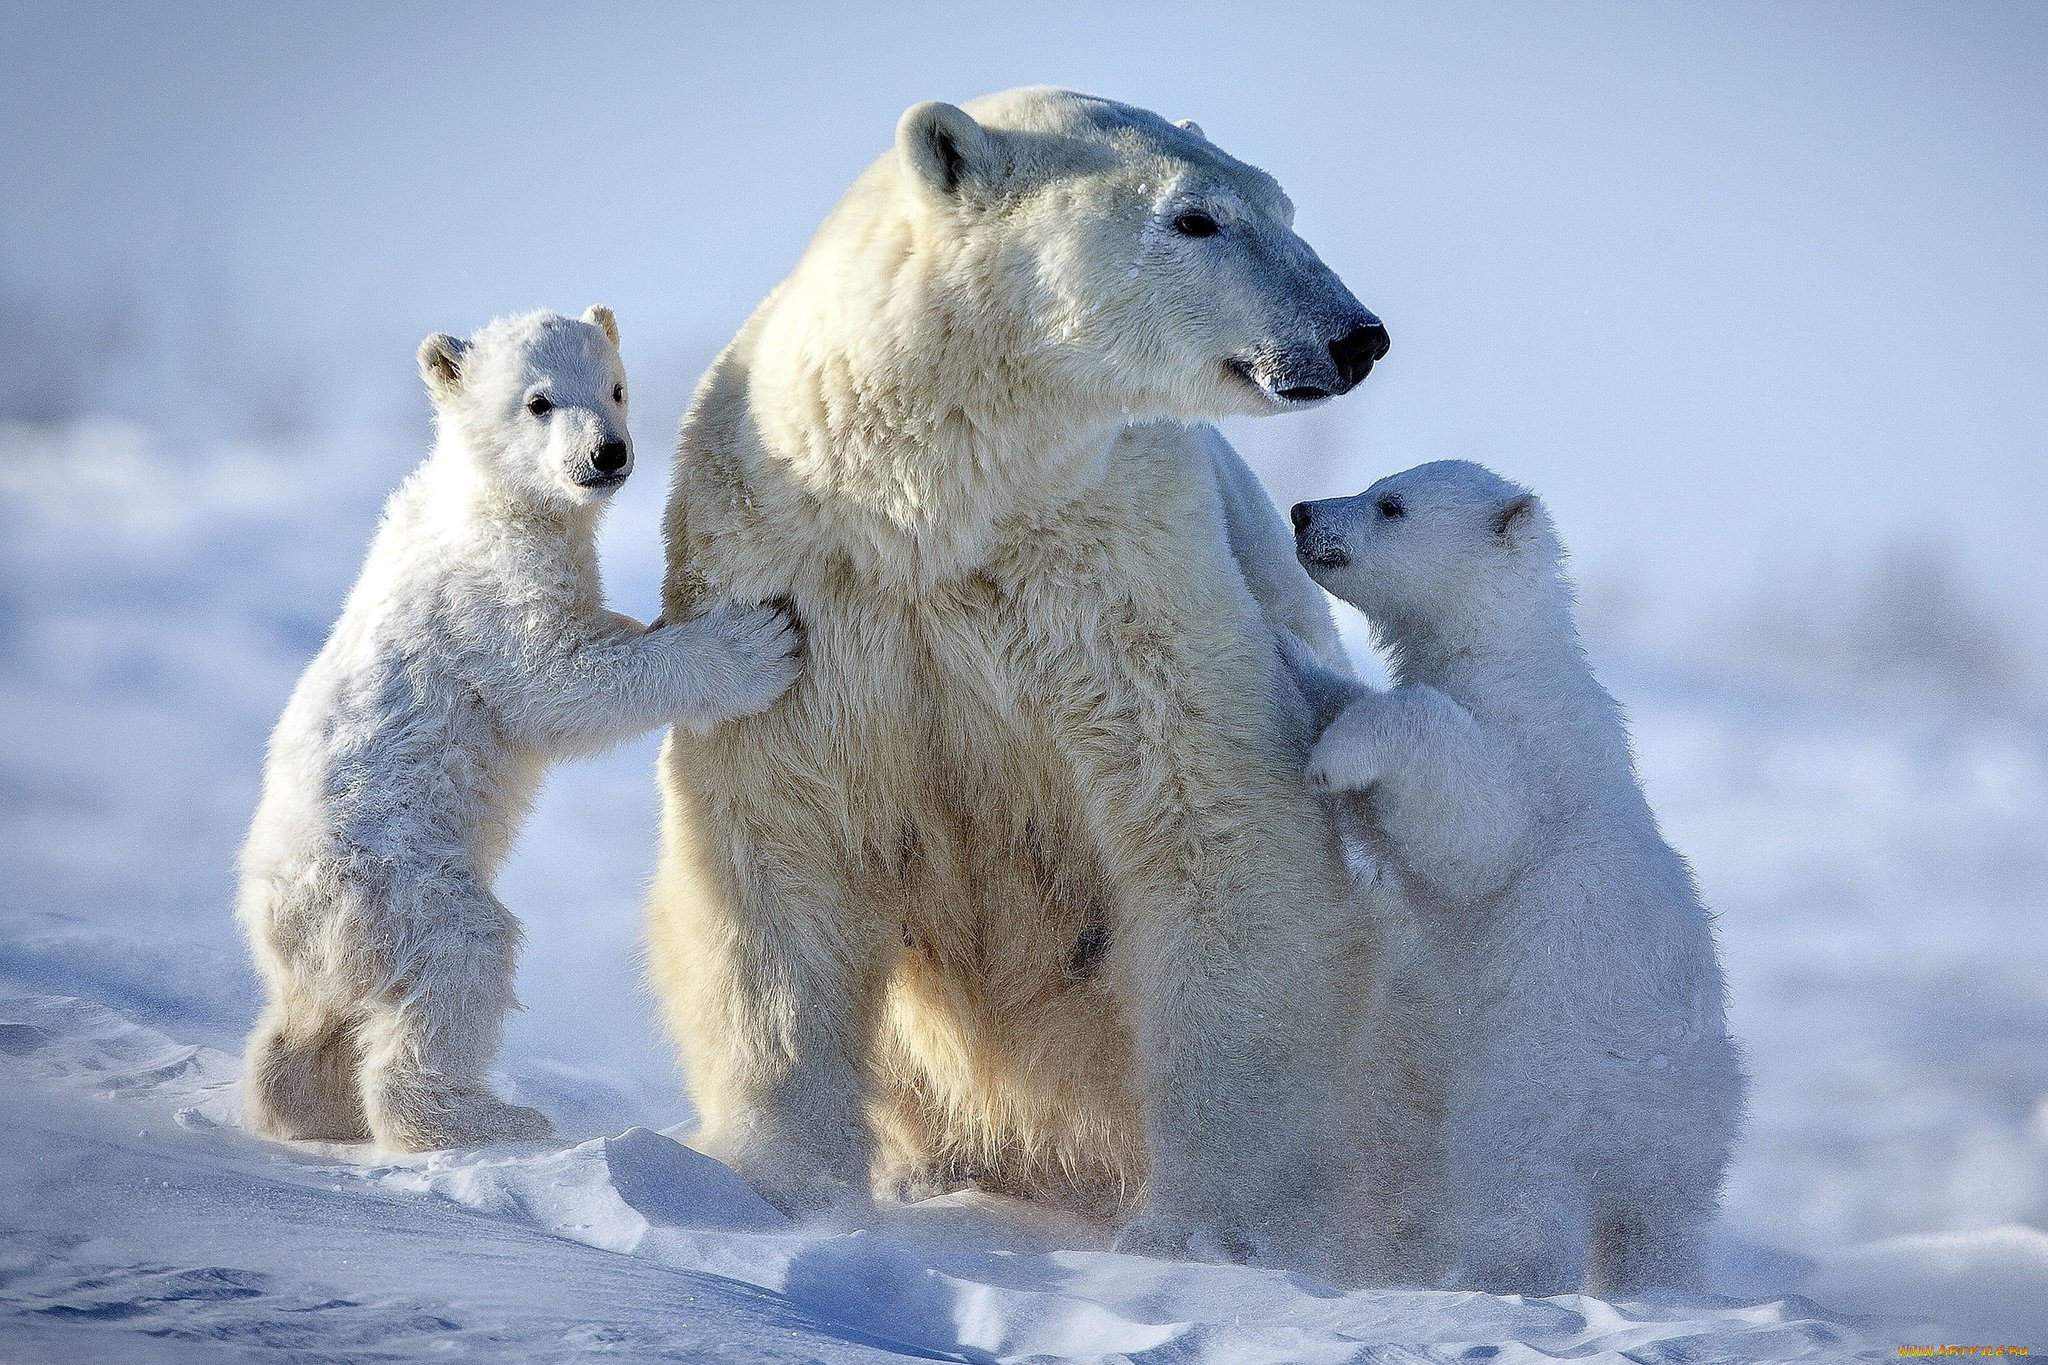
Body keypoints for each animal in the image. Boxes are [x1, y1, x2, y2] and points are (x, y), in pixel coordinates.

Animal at [239, 306, 798, 1154]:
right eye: (539, 401)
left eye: (616, 387)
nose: (608, 452)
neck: (487, 496)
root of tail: (275, 923)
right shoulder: (493, 590)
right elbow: (559, 683)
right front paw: (755, 642)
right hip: (395, 884)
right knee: (461, 958)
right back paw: (486, 1116)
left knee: (309, 1022)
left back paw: (300, 1102)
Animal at [643, 85, 1441, 1285]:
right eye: (1194, 217)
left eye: (1279, 201)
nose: (1356, 335)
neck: (937, 504)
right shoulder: (800, 584)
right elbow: (779, 842)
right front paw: (775, 1190)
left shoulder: (1117, 575)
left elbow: (1212, 827)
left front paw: (1209, 1230)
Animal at [1277, 462, 1744, 1301]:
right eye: (1379, 483)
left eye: (1390, 503)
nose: (1301, 511)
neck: (1508, 653)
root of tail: (1646, 1114)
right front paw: (1298, 658)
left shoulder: (1528, 750)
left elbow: (1477, 823)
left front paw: (1333, 757)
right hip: (1695, 1136)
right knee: (1661, 1226)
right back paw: (1656, 1287)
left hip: (1537, 1079)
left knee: (1519, 1188)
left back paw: (1508, 1281)